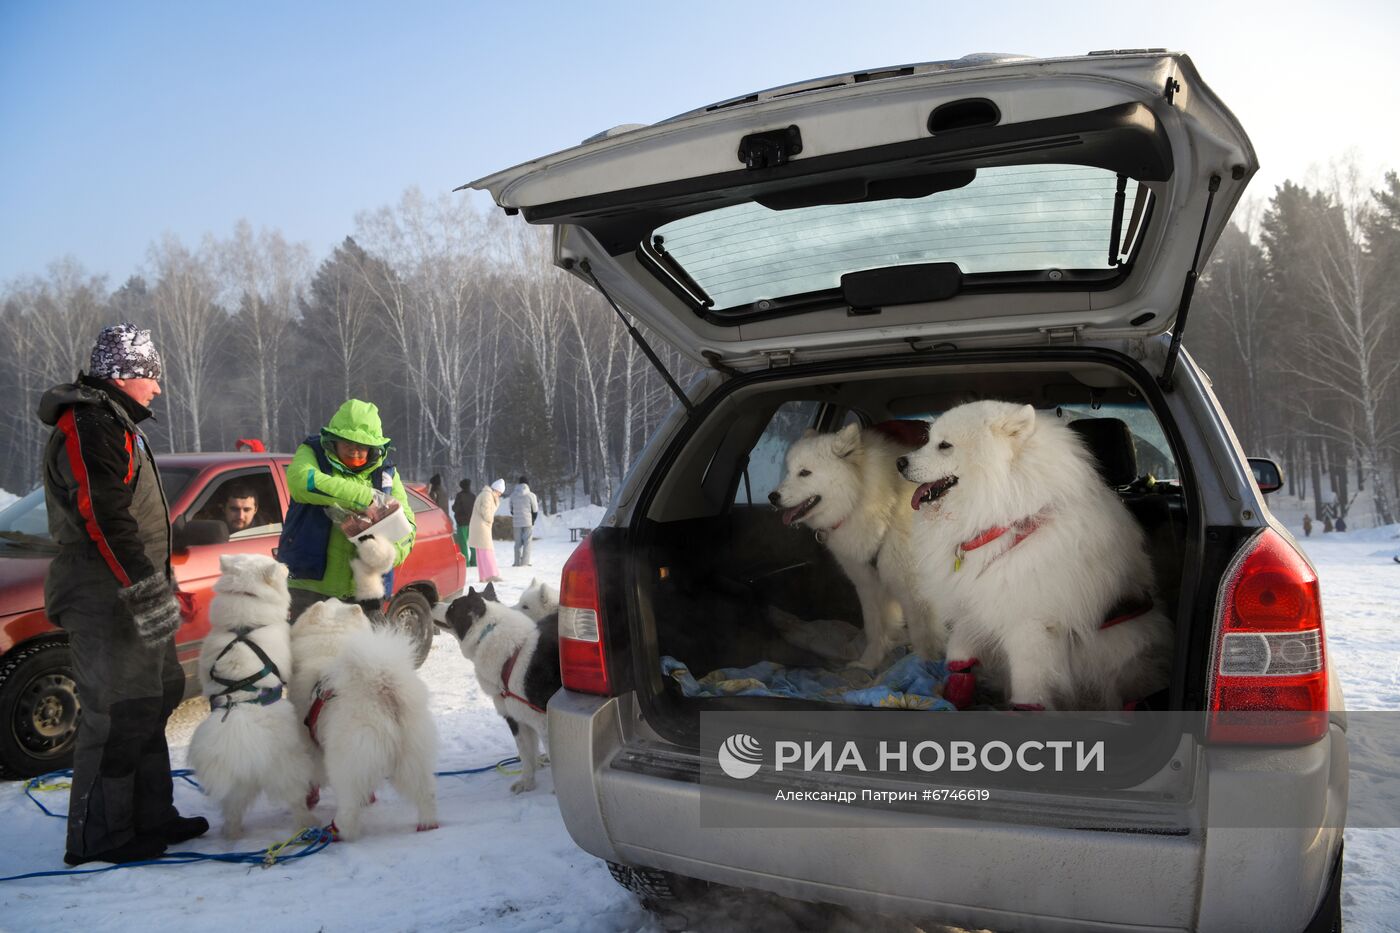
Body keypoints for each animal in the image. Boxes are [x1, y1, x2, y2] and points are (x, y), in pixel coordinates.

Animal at [186, 551, 315, 834]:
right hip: (288, 769)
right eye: (276, 566)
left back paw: (231, 835)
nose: (286, 565)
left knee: (233, 809)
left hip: (237, 788)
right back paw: (309, 824)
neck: (243, 627)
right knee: (296, 799)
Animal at [285, 599, 434, 840]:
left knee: (349, 803)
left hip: (345, 760)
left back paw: (338, 831)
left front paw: (310, 799)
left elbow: (311, 776)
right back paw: (428, 824)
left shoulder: (309, 744)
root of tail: (383, 689)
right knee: (425, 792)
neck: (331, 644)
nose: (334, 598)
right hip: (413, 755)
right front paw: (370, 799)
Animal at [445, 582, 560, 790]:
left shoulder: (544, 720)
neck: (511, 658)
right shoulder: (515, 718)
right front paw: (527, 782)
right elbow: (526, 755)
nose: (433, 603)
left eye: (452, 607)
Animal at [772, 417, 946, 664]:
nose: (772, 497)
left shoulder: (917, 593)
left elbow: (925, 636)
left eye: (804, 473)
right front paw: (868, 663)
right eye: (788, 472)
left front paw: (925, 664)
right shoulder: (867, 583)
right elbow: (875, 630)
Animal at [896, 395, 1170, 708]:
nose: (899, 462)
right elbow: (960, 659)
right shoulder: (973, 603)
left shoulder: (1031, 627)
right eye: (929, 440)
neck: (1004, 518)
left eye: (945, 445)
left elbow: (1030, 693)